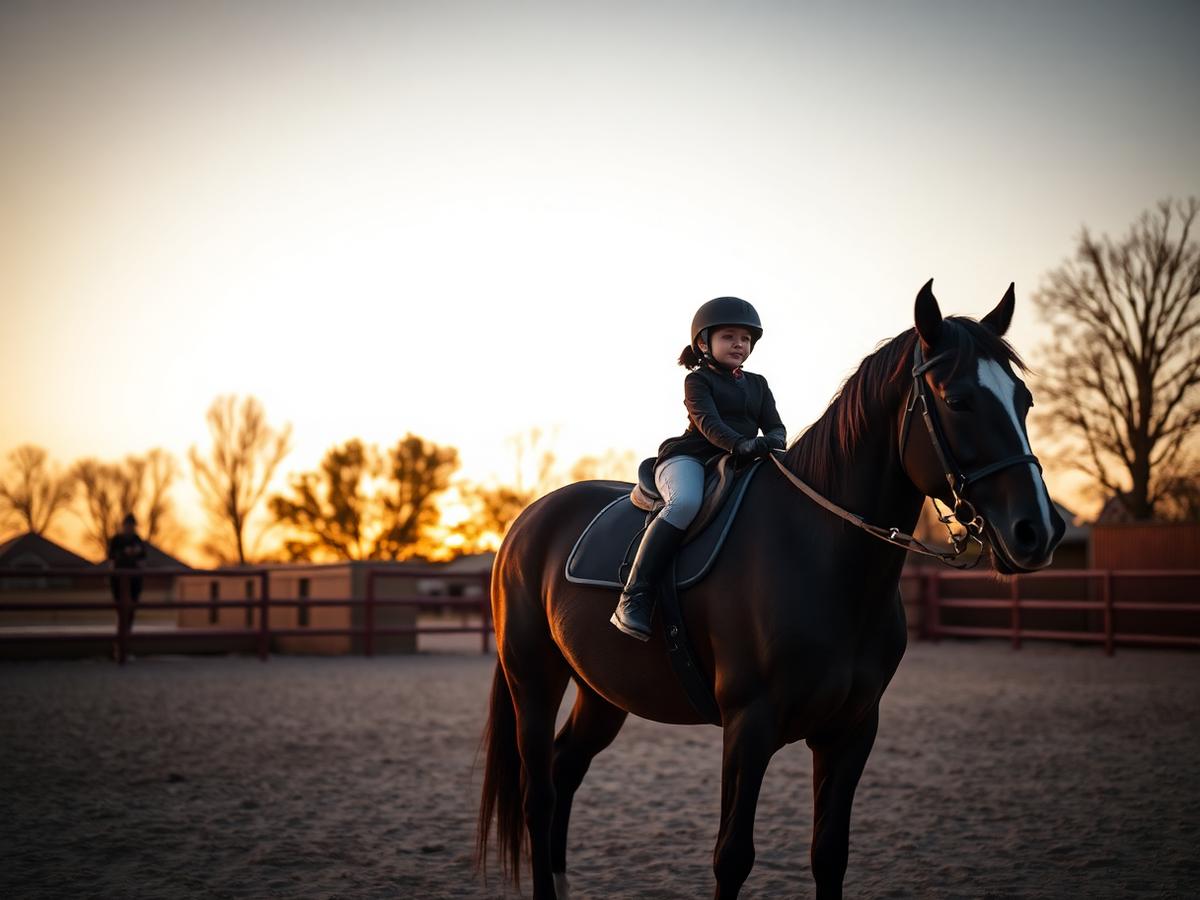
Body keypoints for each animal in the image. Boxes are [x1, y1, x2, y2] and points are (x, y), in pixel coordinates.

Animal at [477, 280, 1066, 899]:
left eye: (1024, 400)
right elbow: (732, 856)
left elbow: (830, 854)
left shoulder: (852, 729)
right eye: (957, 400)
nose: (1038, 531)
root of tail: (527, 521)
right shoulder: (749, 727)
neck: (822, 558)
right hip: (533, 678)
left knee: (565, 768)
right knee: (538, 794)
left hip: (603, 689)